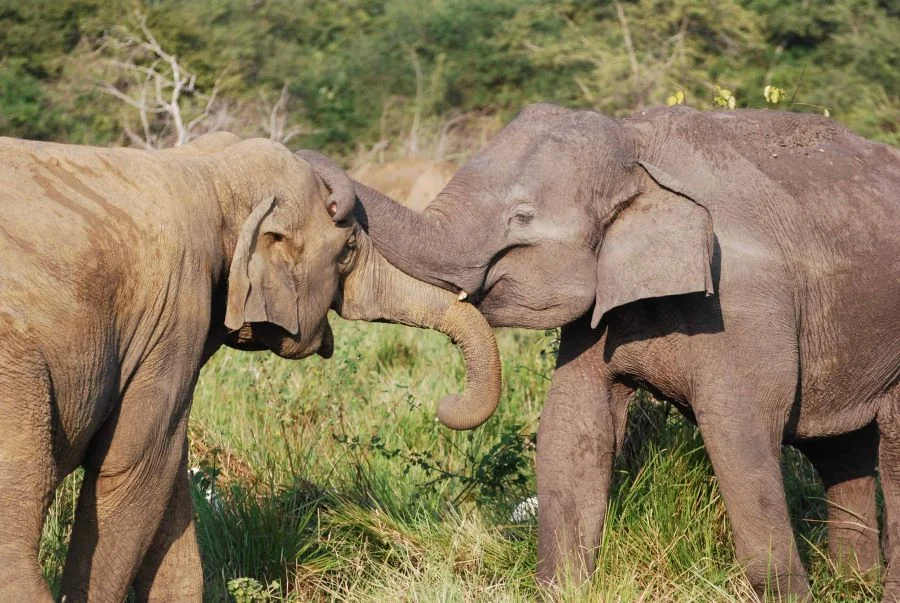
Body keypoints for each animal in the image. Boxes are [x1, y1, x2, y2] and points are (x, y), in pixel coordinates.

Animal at [0, 133, 500, 601]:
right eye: (348, 250)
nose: (446, 403)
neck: (210, 170)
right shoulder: (172, 317)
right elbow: (135, 468)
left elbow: (170, 484)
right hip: (16, 374)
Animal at [352, 104, 900, 599]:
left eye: (522, 218)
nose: (338, 202)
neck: (636, 147)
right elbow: (574, 428)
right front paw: (563, 592)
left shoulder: (743, 301)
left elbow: (740, 435)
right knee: (842, 451)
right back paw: (854, 584)